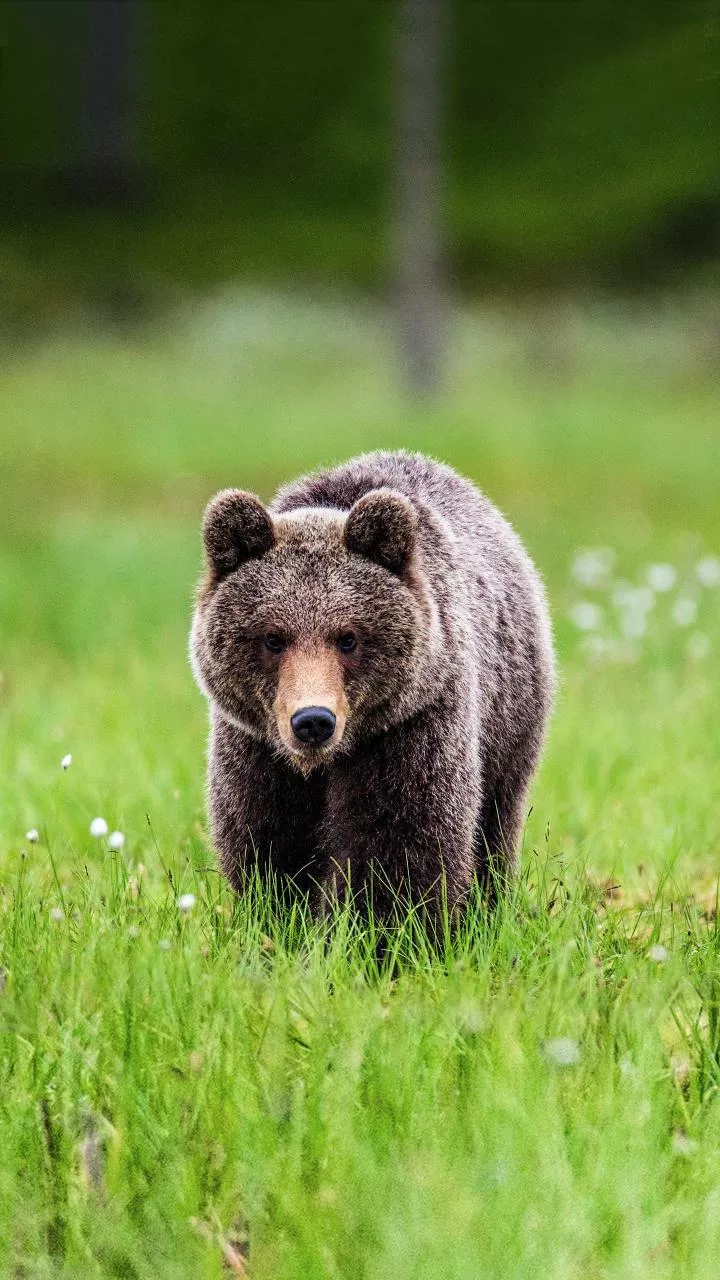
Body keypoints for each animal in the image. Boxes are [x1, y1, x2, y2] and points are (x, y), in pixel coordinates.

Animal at [190, 450, 554, 920]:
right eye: (273, 637)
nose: (313, 721)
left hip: (509, 717)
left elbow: (399, 840)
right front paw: (283, 918)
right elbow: (269, 840)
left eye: (348, 637)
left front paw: (383, 926)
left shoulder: (410, 725)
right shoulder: (256, 747)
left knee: (495, 818)